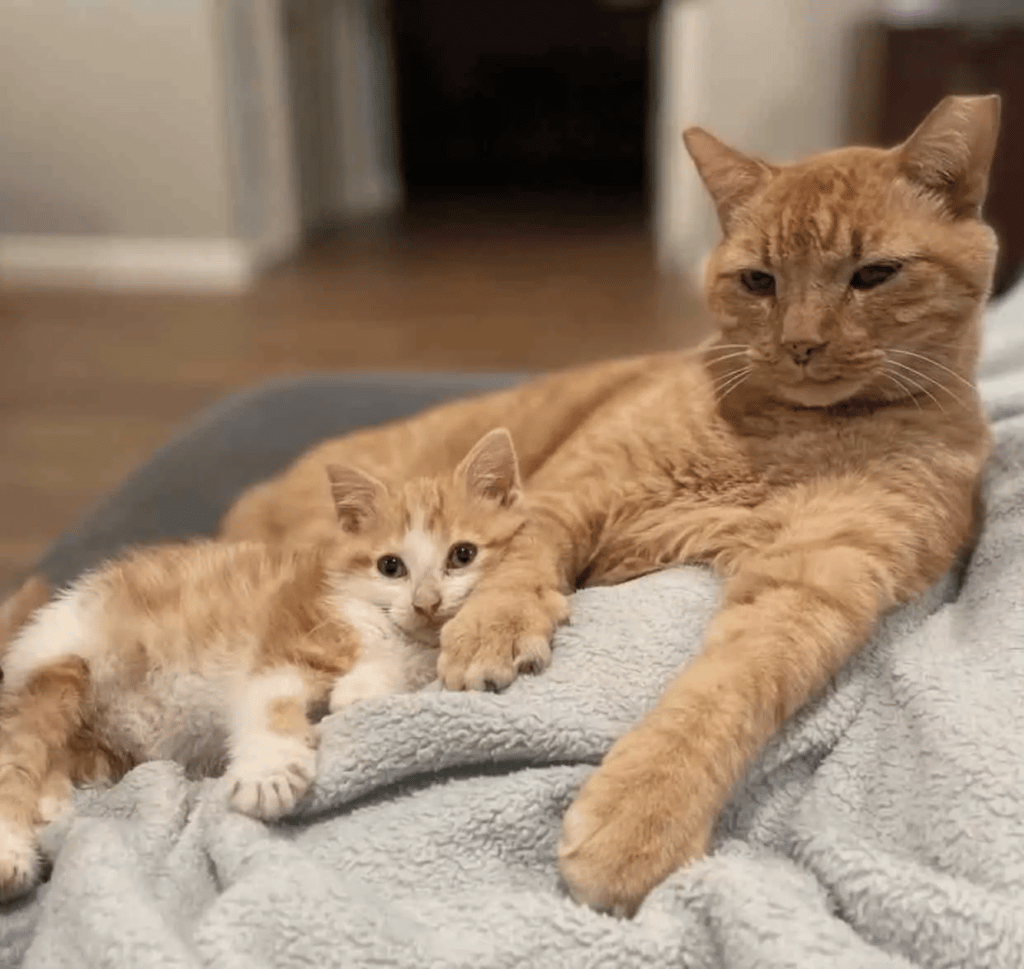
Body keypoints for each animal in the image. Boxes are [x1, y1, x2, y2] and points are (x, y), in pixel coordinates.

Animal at [0, 426, 524, 893]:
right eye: (390, 566)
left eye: (462, 554)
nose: (426, 602)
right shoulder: (286, 637)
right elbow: (267, 701)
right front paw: (269, 775)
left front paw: (362, 688)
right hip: (61, 668)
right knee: (17, 758)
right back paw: (13, 854)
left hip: (104, 747)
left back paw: (54, 803)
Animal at [220, 96, 995, 913]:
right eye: (759, 281)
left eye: (874, 275)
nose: (802, 344)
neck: (791, 434)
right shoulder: (573, 489)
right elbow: (521, 562)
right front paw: (491, 629)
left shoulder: (813, 581)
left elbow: (726, 689)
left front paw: (641, 816)